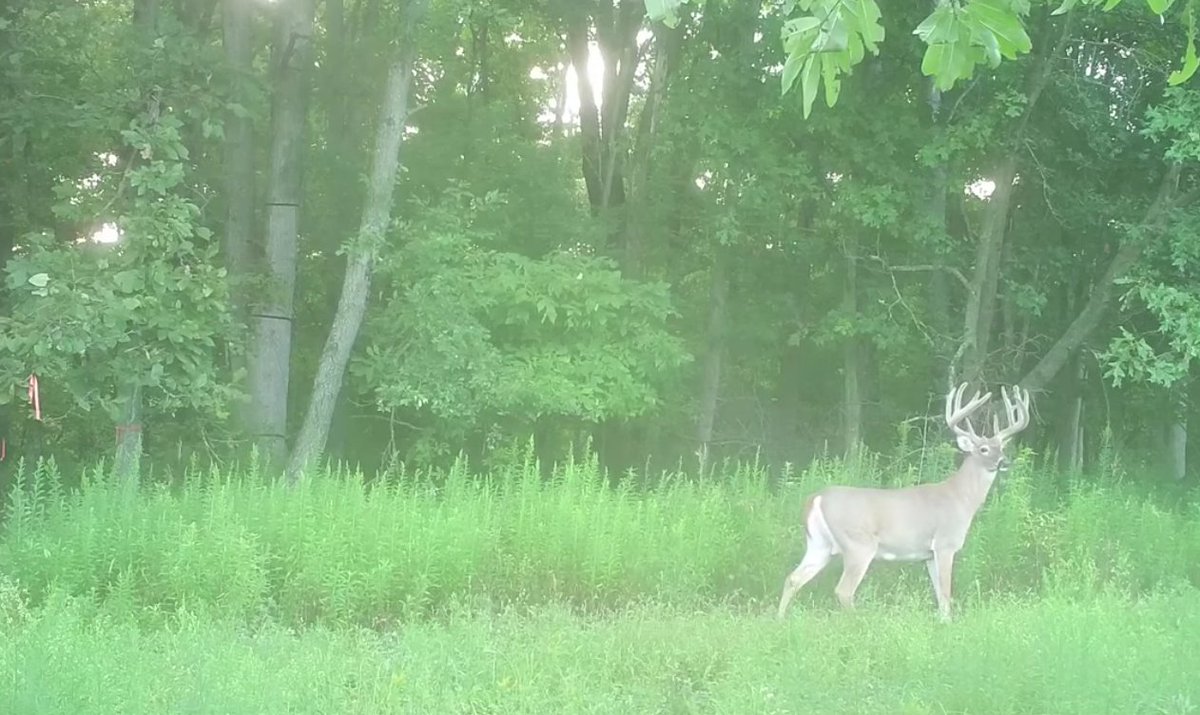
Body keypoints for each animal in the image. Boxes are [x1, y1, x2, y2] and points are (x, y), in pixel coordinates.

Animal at [776, 382, 1031, 622]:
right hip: (858, 544)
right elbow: (946, 593)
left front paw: (942, 623)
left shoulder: (928, 554)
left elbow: (939, 596)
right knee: (843, 590)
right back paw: (858, 622)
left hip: (819, 545)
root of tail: (817, 498)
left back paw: (779, 620)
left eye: (1002, 447)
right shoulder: (945, 543)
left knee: (792, 578)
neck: (961, 499)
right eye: (984, 448)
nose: (1004, 462)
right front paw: (949, 625)